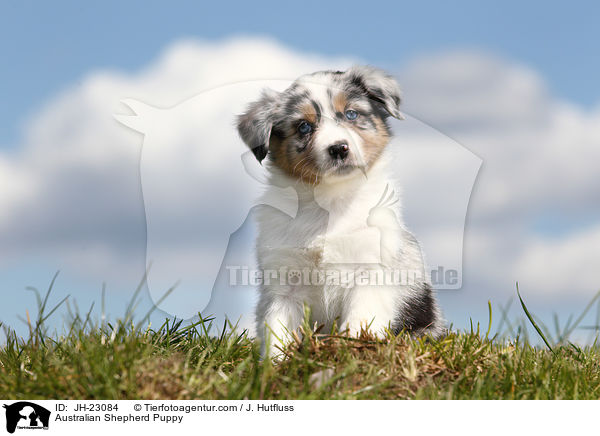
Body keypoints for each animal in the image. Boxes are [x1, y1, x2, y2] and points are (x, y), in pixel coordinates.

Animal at [237, 65, 442, 358]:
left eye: (351, 114)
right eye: (304, 126)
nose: (339, 148)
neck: (329, 202)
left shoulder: (370, 271)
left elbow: (359, 321)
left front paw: (352, 351)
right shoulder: (283, 283)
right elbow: (278, 330)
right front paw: (274, 364)